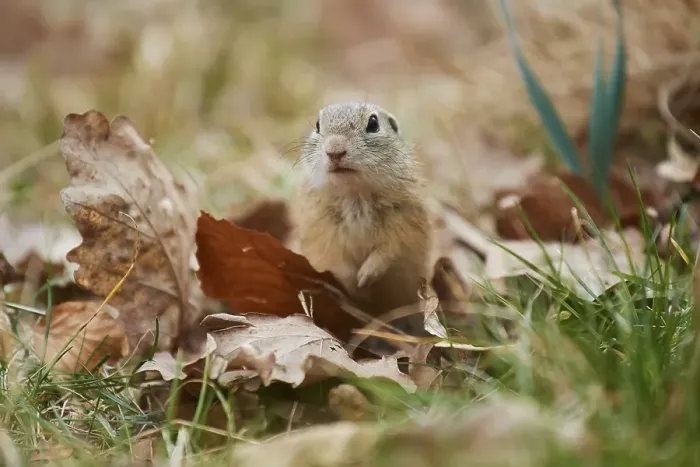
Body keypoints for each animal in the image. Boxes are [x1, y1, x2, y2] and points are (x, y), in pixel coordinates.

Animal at [290, 101, 432, 345]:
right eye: (317, 125)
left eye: (373, 123)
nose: (334, 149)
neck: (354, 193)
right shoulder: (321, 228)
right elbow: (335, 259)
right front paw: (354, 285)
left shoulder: (403, 221)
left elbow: (389, 249)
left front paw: (366, 276)